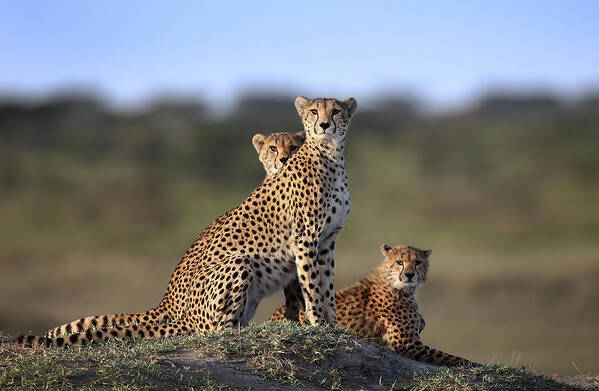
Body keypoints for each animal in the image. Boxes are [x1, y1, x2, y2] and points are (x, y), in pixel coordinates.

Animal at [16, 96, 358, 348]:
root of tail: (172, 306)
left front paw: (333, 326)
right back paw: (238, 332)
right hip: (238, 264)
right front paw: (318, 325)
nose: (325, 124)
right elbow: (312, 287)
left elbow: (326, 286)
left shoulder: (327, 241)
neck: (330, 155)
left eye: (336, 111)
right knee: (211, 330)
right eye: (314, 111)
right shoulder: (305, 240)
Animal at [270, 245, 474, 368]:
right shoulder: (408, 344)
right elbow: (456, 359)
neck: (395, 284)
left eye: (418, 262)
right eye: (399, 262)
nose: (409, 275)